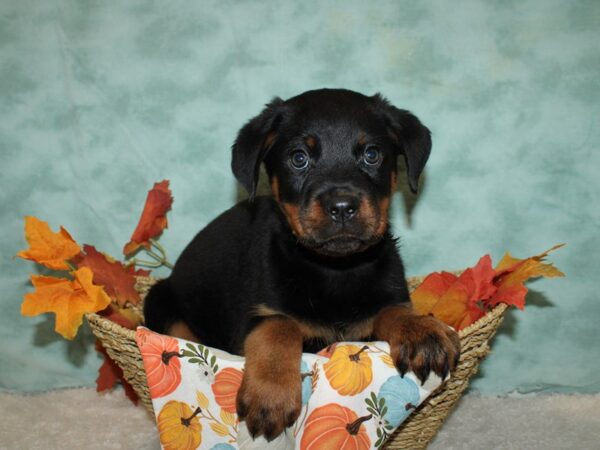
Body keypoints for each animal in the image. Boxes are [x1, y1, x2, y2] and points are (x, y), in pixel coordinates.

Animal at [143, 88, 462, 440]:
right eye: (299, 158)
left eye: (372, 154)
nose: (342, 207)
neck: (336, 270)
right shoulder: (250, 319)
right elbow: (280, 325)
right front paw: (270, 395)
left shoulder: (379, 305)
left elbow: (392, 310)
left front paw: (421, 330)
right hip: (160, 300)